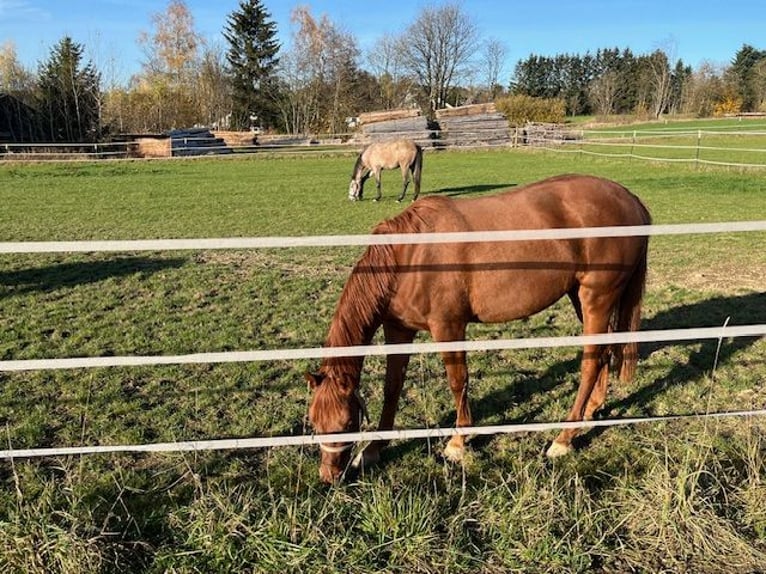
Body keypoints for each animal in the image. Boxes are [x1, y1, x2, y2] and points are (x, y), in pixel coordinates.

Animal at [306, 174, 651, 483]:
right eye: (314, 423)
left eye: (346, 422)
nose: (329, 477)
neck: (409, 257)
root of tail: (631, 201)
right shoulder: (398, 330)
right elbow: (393, 387)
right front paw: (372, 451)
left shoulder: (448, 327)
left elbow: (457, 381)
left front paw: (457, 443)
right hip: (581, 298)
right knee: (604, 351)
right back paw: (591, 410)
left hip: (596, 299)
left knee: (591, 361)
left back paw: (563, 439)